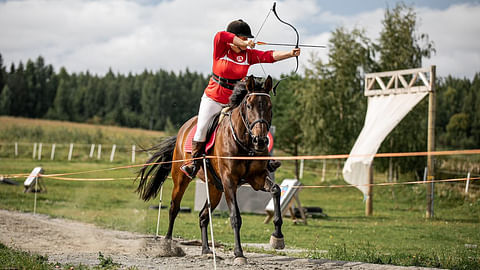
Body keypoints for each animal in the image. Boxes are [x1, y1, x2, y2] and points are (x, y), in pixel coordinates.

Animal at [135, 75, 284, 264]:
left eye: (269, 106)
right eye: (249, 106)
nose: (261, 141)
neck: (245, 142)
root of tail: (184, 129)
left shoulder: (257, 178)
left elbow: (276, 190)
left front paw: (277, 237)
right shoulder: (229, 182)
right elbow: (235, 217)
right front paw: (239, 253)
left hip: (215, 188)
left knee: (203, 216)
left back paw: (206, 250)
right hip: (181, 179)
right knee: (174, 208)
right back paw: (168, 245)